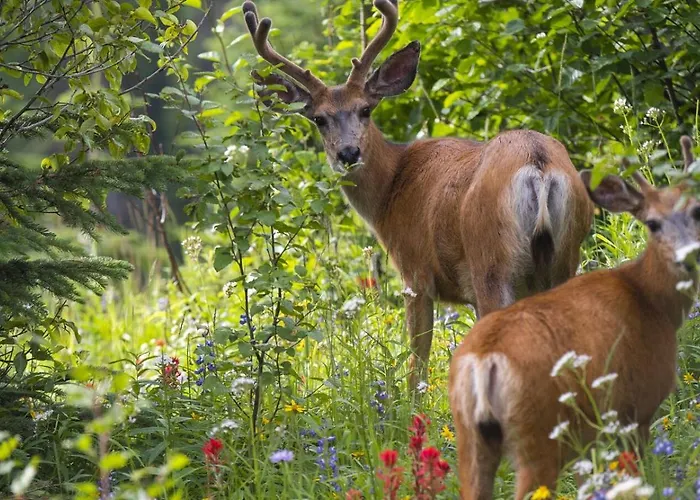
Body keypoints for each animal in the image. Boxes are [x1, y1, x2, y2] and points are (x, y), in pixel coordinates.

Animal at [241, 0, 593, 391]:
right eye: (319, 118)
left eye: (366, 109)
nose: (348, 153)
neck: (391, 188)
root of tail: (538, 165)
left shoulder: (415, 272)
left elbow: (416, 366)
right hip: (565, 258)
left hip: (491, 261)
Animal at [448, 137, 699, 499]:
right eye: (652, 223)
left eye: (696, 210)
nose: (687, 256)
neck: (648, 297)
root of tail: (484, 361)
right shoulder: (637, 408)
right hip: (539, 431)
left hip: (472, 437)